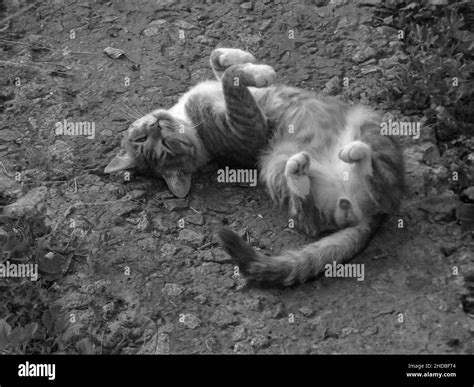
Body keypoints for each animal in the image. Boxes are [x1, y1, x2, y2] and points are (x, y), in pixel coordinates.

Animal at [105, 47, 406, 286]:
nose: (156, 125)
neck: (192, 127)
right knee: (341, 209)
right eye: (162, 146)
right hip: (278, 161)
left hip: (353, 126)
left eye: (147, 139)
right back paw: (325, 163)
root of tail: (364, 214)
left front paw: (234, 56)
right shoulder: (250, 128)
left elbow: (218, 65)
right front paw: (259, 71)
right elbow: (231, 80)